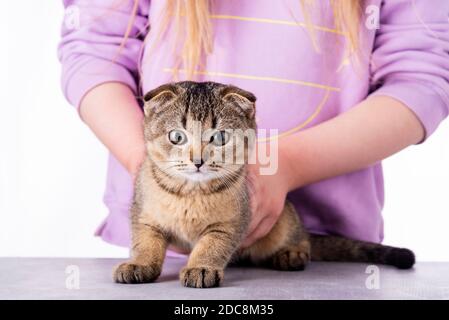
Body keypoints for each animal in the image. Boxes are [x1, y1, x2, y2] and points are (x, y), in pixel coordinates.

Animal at [114, 81, 414, 288]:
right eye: (177, 136)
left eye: (219, 137)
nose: (197, 160)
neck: (191, 193)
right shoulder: (143, 216)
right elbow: (145, 243)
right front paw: (139, 264)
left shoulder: (231, 223)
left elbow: (211, 246)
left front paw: (201, 267)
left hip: (286, 220)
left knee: (303, 238)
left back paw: (292, 253)